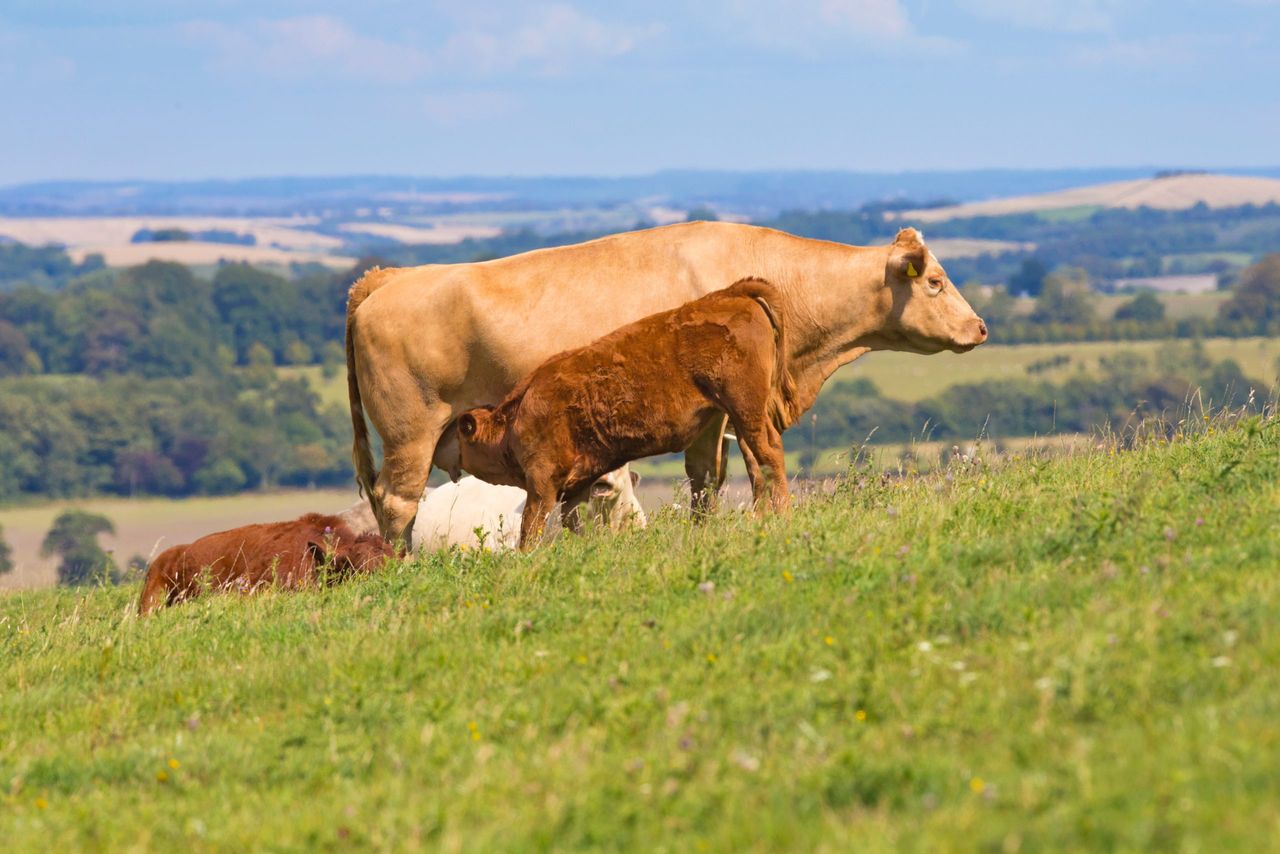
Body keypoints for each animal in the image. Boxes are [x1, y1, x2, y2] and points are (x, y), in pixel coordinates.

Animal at [457, 278, 799, 549]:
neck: (517, 415)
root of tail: (730, 293)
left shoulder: (542, 481)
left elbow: (531, 527)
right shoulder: (578, 483)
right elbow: (574, 521)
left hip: (745, 408)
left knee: (769, 453)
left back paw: (782, 515)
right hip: (742, 417)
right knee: (756, 462)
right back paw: (762, 518)